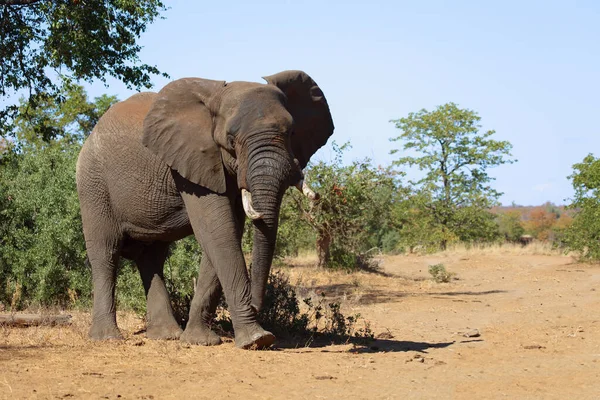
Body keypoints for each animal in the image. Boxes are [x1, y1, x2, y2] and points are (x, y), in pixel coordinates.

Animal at [76, 70, 332, 348]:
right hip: (93, 184)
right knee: (105, 252)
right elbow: (217, 231)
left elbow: (227, 232)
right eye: (231, 140)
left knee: (151, 257)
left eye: (292, 132)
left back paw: (166, 335)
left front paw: (200, 341)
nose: (256, 306)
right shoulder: (192, 161)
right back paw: (107, 337)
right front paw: (257, 339)